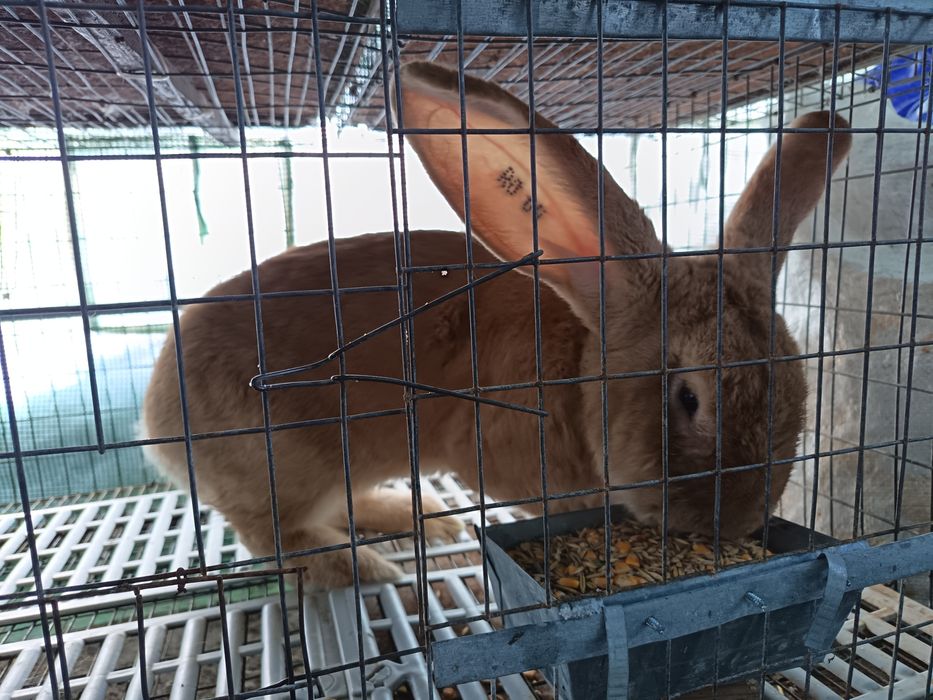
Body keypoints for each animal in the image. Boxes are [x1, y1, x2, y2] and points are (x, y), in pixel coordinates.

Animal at [141, 61, 852, 590]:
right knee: (275, 534)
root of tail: (157, 418)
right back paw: (362, 567)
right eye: (688, 399)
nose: (734, 524)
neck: (577, 381)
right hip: (281, 462)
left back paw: (426, 518)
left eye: (798, 389)